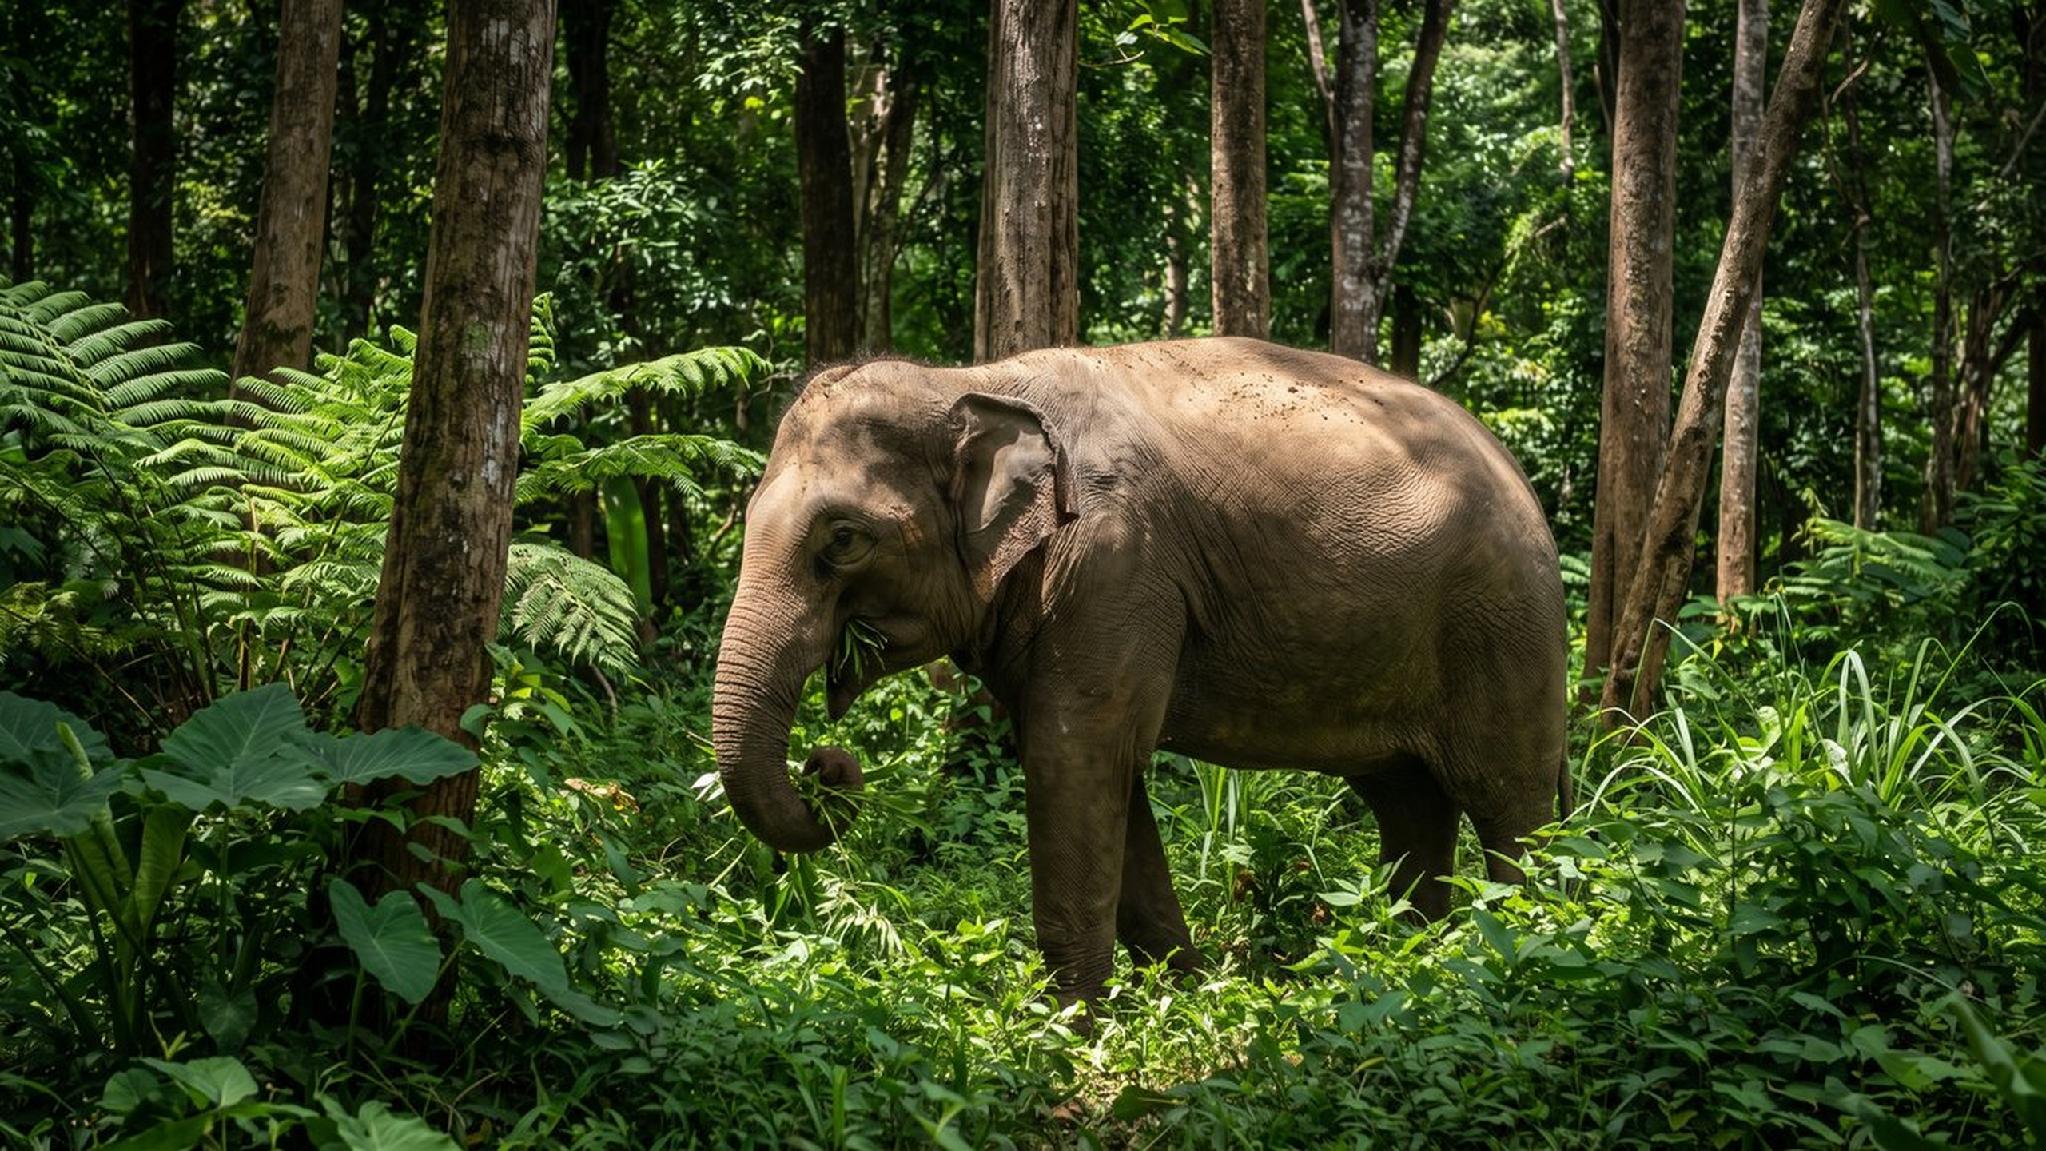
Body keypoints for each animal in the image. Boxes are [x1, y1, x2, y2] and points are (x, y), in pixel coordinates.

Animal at [711, 337, 1569, 1005]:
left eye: (844, 539)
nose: (829, 765)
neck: (968, 376)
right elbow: (1110, 785)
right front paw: (1183, 997)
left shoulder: (1116, 567)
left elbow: (1072, 761)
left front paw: (1072, 1032)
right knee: (1409, 803)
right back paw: (1405, 964)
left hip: (1504, 628)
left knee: (1510, 806)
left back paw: (1516, 954)